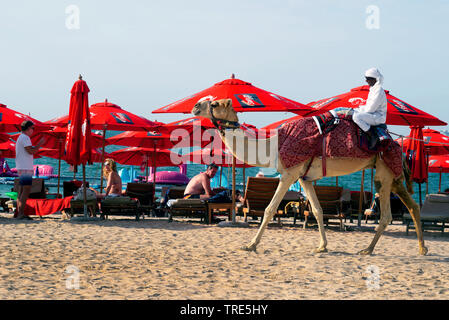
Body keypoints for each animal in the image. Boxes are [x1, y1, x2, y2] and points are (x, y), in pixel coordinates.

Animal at [192, 99, 428, 256]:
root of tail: (399, 147)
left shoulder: (290, 172)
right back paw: (421, 248)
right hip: (392, 176)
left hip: (384, 175)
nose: (195, 106)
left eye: (214, 104)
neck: (274, 145)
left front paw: (251, 245)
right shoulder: (304, 178)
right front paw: (322, 246)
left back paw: (368, 249)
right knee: (413, 206)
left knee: (387, 214)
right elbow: (317, 210)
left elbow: (269, 209)